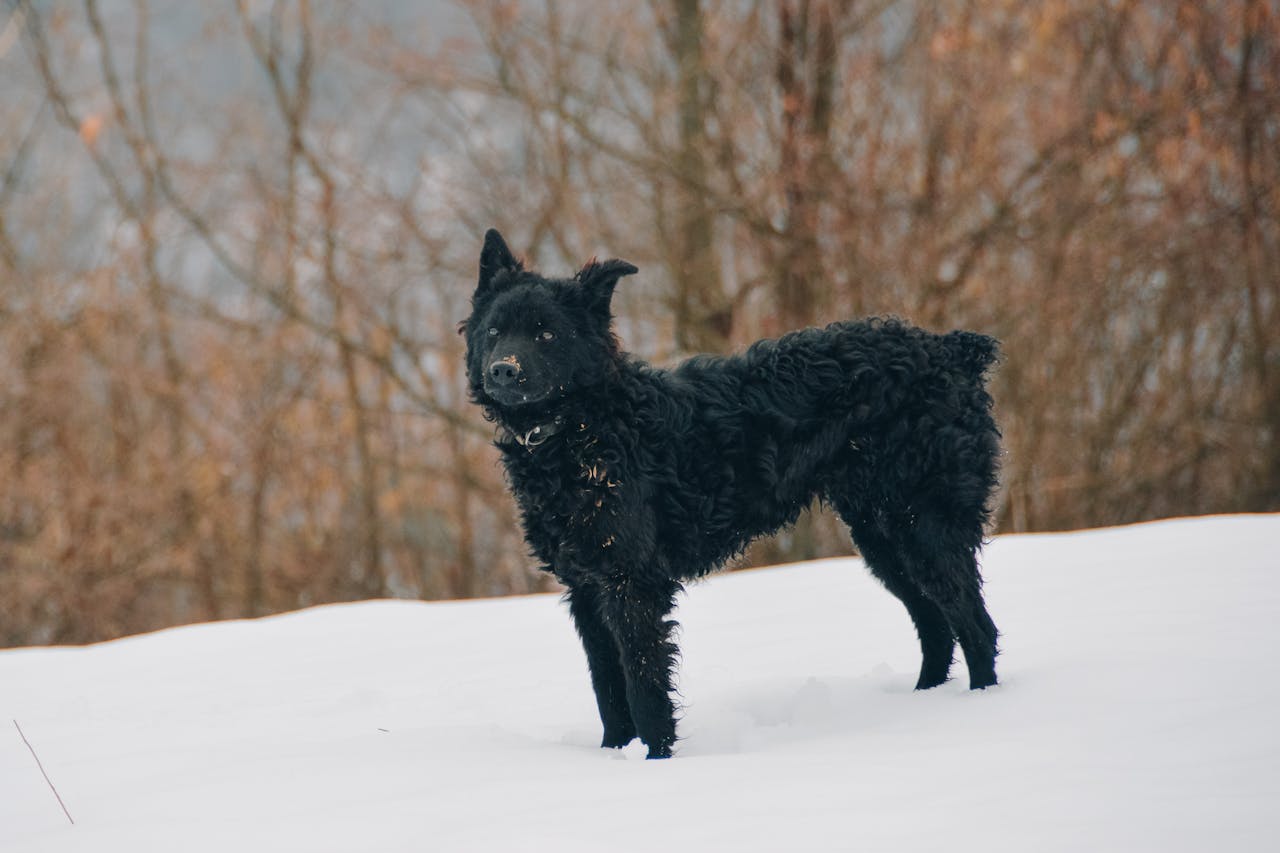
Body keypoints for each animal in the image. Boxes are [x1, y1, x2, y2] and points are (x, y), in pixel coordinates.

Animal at [465, 229, 1003, 753]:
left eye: (546, 333)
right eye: (494, 331)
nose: (503, 370)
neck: (587, 429)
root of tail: (950, 350)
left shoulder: (631, 584)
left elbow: (644, 691)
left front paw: (656, 761)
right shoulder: (585, 590)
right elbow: (609, 694)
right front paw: (613, 757)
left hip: (926, 528)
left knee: (975, 626)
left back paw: (980, 709)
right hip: (883, 538)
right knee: (936, 627)